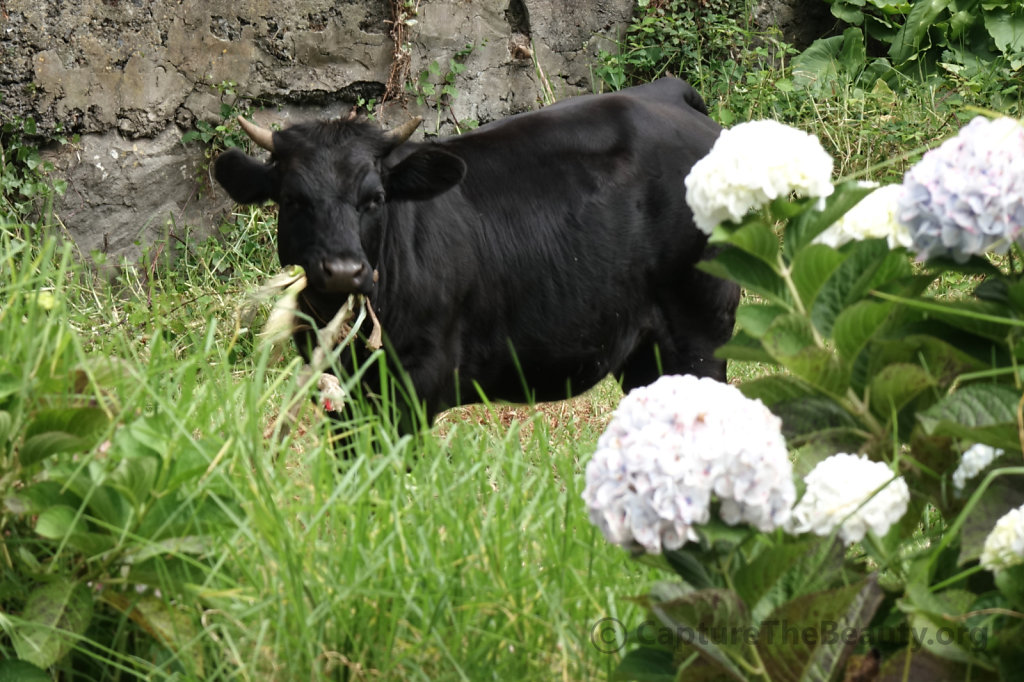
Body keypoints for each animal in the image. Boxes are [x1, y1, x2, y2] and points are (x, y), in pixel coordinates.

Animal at [214, 76, 737, 444]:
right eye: (293, 200)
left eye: (375, 198)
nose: (343, 270)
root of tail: (668, 93)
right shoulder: (338, 391)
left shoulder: (415, 383)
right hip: (645, 354)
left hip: (701, 333)